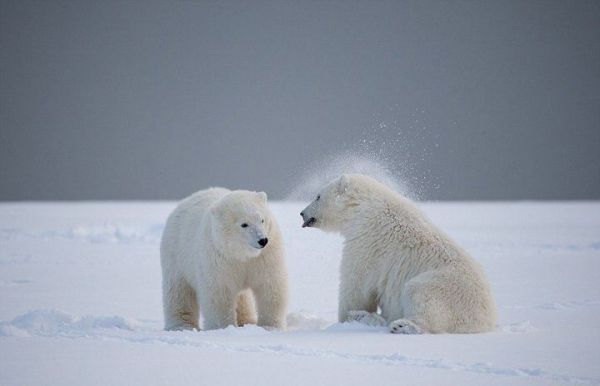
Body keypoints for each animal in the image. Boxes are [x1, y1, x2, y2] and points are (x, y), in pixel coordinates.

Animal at [161, 188, 288, 330]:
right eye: (244, 224)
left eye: (262, 220)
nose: (262, 240)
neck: (241, 254)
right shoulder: (218, 258)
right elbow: (219, 294)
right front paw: (223, 327)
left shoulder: (264, 256)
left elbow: (270, 285)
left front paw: (270, 327)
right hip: (175, 256)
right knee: (179, 291)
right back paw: (182, 325)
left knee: (243, 298)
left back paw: (246, 321)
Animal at [300, 173, 496, 334]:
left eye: (317, 196)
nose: (302, 213)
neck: (362, 207)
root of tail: (487, 320)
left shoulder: (366, 242)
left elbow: (356, 285)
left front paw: (350, 316)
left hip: (448, 288)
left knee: (420, 294)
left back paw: (401, 325)